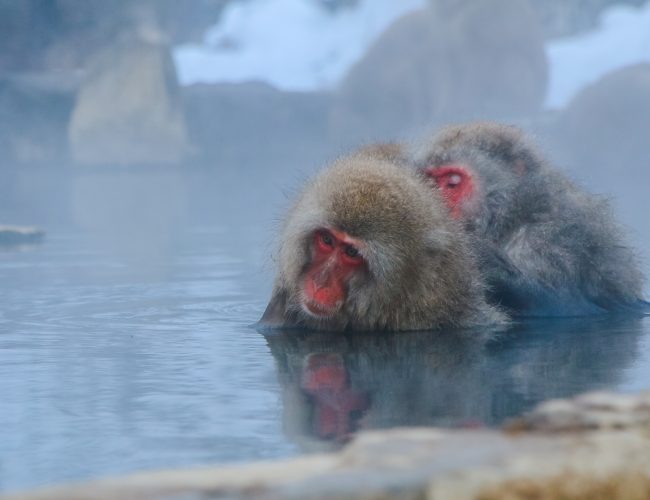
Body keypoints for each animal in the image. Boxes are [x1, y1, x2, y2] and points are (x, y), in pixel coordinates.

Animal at [416, 121, 644, 316]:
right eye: (430, 181)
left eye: (452, 183)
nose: (436, 205)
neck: (513, 216)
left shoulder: (551, 238)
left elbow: (561, 304)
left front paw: (481, 257)